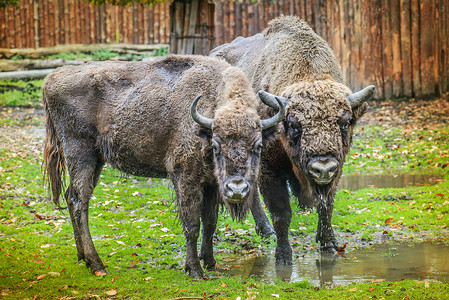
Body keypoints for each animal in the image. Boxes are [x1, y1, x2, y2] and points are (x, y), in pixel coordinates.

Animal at [43, 54, 286, 278]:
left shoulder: (211, 185)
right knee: (79, 201)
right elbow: (192, 225)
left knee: (70, 196)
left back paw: (82, 257)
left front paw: (210, 262)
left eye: (258, 146)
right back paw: (97, 264)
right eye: (216, 145)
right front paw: (195, 270)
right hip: (80, 153)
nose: (237, 189)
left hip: (97, 159)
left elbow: (210, 222)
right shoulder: (186, 179)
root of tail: (51, 79)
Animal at [210, 17, 374, 264]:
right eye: (294, 125)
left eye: (344, 122)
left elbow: (326, 206)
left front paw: (328, 244)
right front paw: (283, 257)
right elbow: (282, 213)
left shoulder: (338, 167)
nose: (322, 168)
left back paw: (265, 231)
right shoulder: (269, 170)